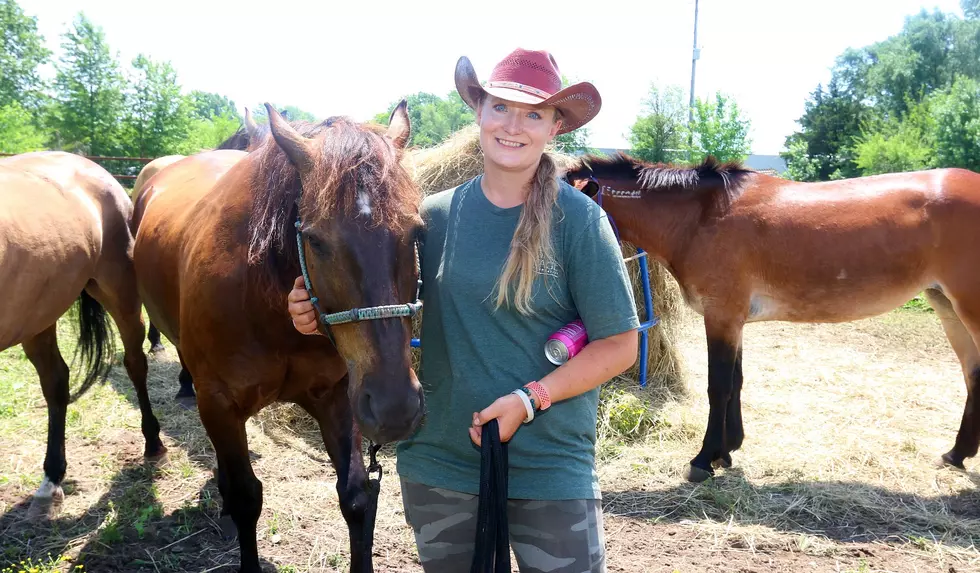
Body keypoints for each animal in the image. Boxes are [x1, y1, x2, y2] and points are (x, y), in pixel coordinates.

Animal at [0, 152, 167, 520]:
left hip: (118, 291)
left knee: (135, 363)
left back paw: (153, 443)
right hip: (39, 315)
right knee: (56, 379)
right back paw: (51, 481)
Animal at [132, 104, 424, 572]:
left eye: (416, 232)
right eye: (315, 240)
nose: (394, 407)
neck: (268, 304)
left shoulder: (338, 395)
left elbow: (357, 497)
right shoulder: (220, 403)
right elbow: (246, 497)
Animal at [564, 153, 980, 482]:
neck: (700, 218)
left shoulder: (721, 315)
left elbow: (720, 386)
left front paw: (703, 460)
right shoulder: (734, 320)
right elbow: (737, 381)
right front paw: (727, 451)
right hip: (946, 305)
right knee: (973, 375)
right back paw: (956, 454)